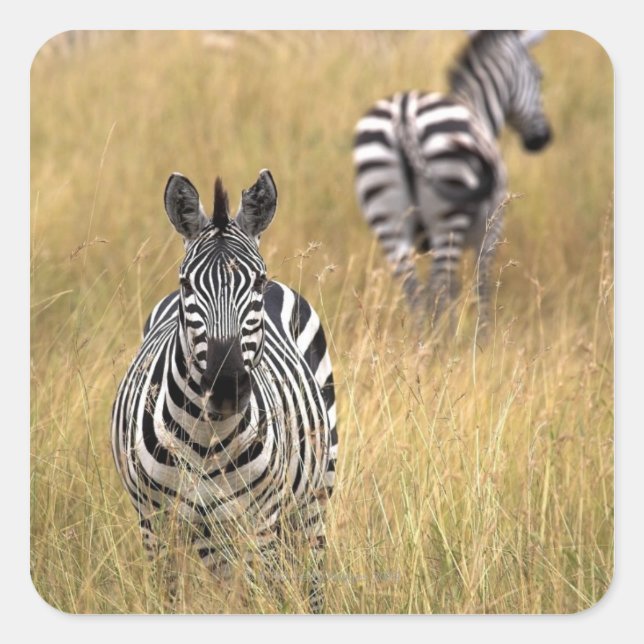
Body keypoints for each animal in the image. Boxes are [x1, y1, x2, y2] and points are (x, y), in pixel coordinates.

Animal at [111, 169, 338, 613]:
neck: (205, 437)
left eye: (257, 282)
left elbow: (260, 596)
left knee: (311, 574)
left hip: (314, 493)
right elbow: (169, 599)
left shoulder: (259, 523)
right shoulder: (154, 525)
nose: (227, 387)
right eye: (186, 284)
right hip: (210, 532)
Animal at [353, 30, 552, 333]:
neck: (478, 109)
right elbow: (481, 288)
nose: (542, 139)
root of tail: (404, 113)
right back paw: (436, 341)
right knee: (436, 289)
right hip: (448, 219)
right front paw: (482, 339)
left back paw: (421, 342)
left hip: (387, 217)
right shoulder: (491, 230)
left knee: (415, 292)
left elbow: (457, 291)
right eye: (539, 76)